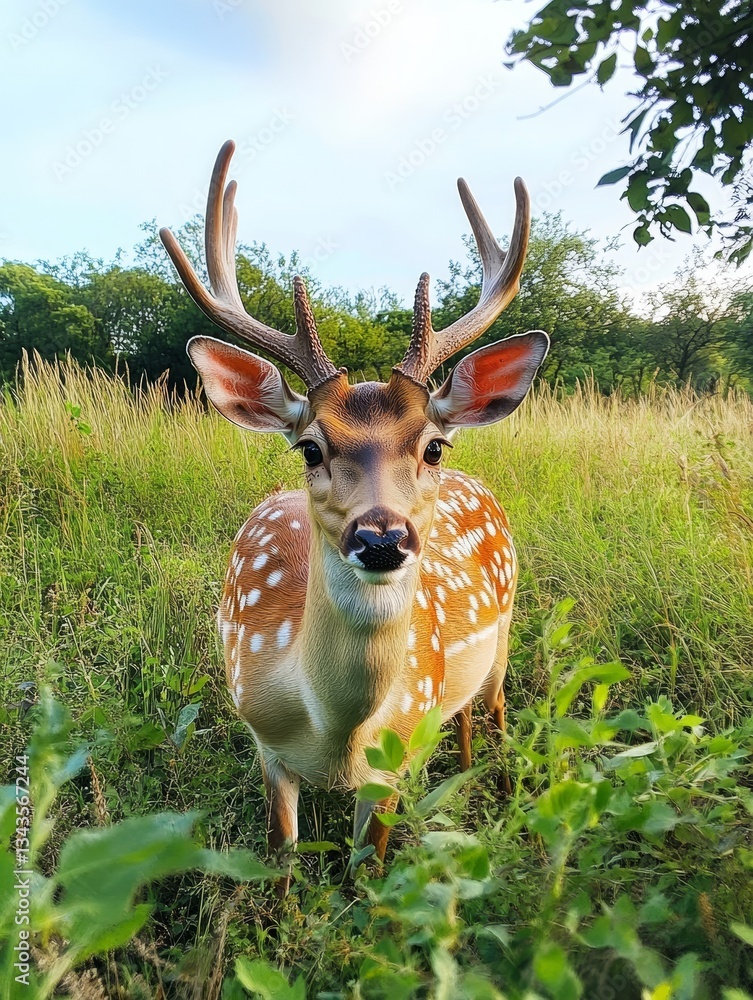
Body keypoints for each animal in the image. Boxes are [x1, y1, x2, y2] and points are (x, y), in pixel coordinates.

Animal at [159, 140, 549, 879]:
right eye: (309, 447)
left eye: (433, 445)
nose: (381, 536)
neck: (336, 731)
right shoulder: (263, 741)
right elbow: (281, 861)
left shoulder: (395, 761)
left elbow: (367, 874)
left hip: (507, 630)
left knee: (492, 708)